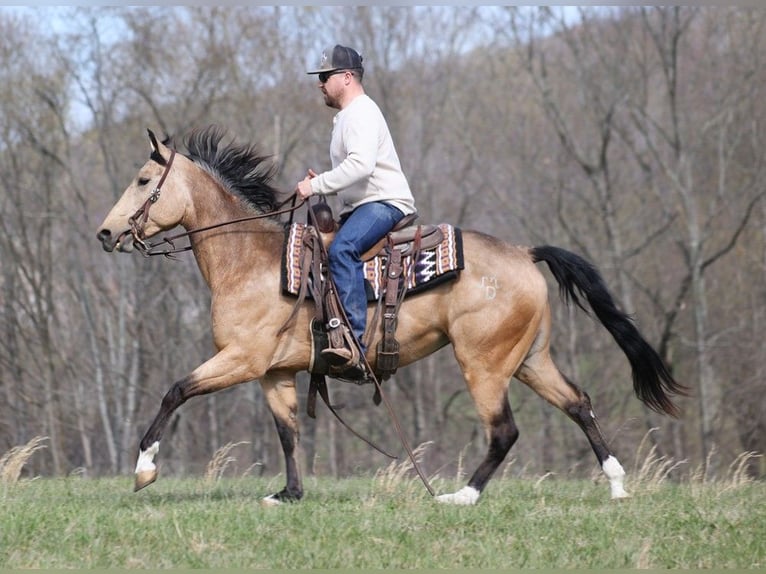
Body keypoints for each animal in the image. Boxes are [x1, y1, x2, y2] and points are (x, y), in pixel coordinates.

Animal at [93, 127, 688, 508]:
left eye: (144, 180)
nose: (105, 232)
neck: (251, 262)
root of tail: (523, 252)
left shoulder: (241, 359)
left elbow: (176, 390)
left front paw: (145, 469)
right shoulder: (275, 372)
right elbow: (288, 433)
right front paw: (289, 494)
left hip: (484, 364)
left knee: (504, 430)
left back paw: (460, 497)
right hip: (529, 359)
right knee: (578, 404)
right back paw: (617, 485)